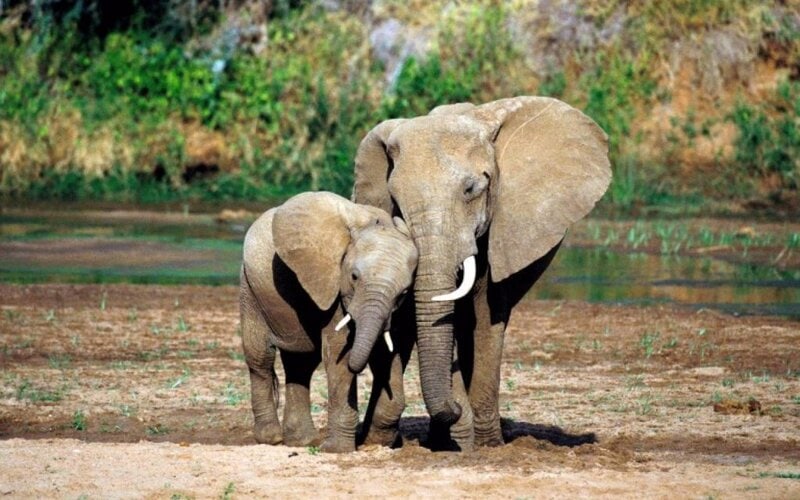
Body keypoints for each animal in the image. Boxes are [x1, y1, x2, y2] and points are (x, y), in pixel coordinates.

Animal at [239, 191, 418, 454]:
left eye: (404, 292)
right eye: (354, 277)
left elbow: (387, 353)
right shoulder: (332, 287)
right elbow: (338, 355)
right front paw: (337, 450)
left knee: (301, 364)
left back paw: (302, 441)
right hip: (250, 288)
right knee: (261, 357)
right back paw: (272, 438)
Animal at [354, 94, 608, 450]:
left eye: (471, 189)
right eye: (395, 200)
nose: (455, 408)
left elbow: (487, 314)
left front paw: (484, 444)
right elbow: (410, 316)